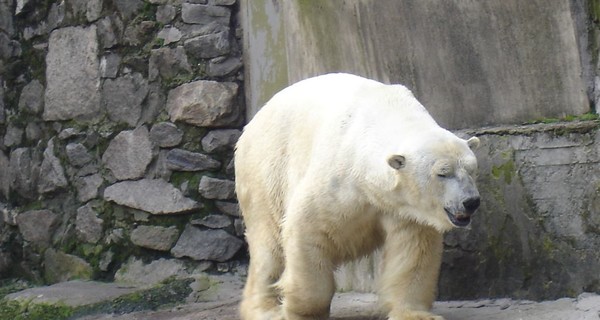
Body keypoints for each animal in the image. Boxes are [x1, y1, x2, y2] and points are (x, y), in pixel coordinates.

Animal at [236, 73, 482, 320]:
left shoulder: (406, 208)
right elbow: (307, 229)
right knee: (268, 245)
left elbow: (412, 251)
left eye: (472, 169)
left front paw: (415, 314)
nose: (471, 202)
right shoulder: (337, 179)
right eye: (443, 173)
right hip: (267, 170)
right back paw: (265, 309)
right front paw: (303, 311)